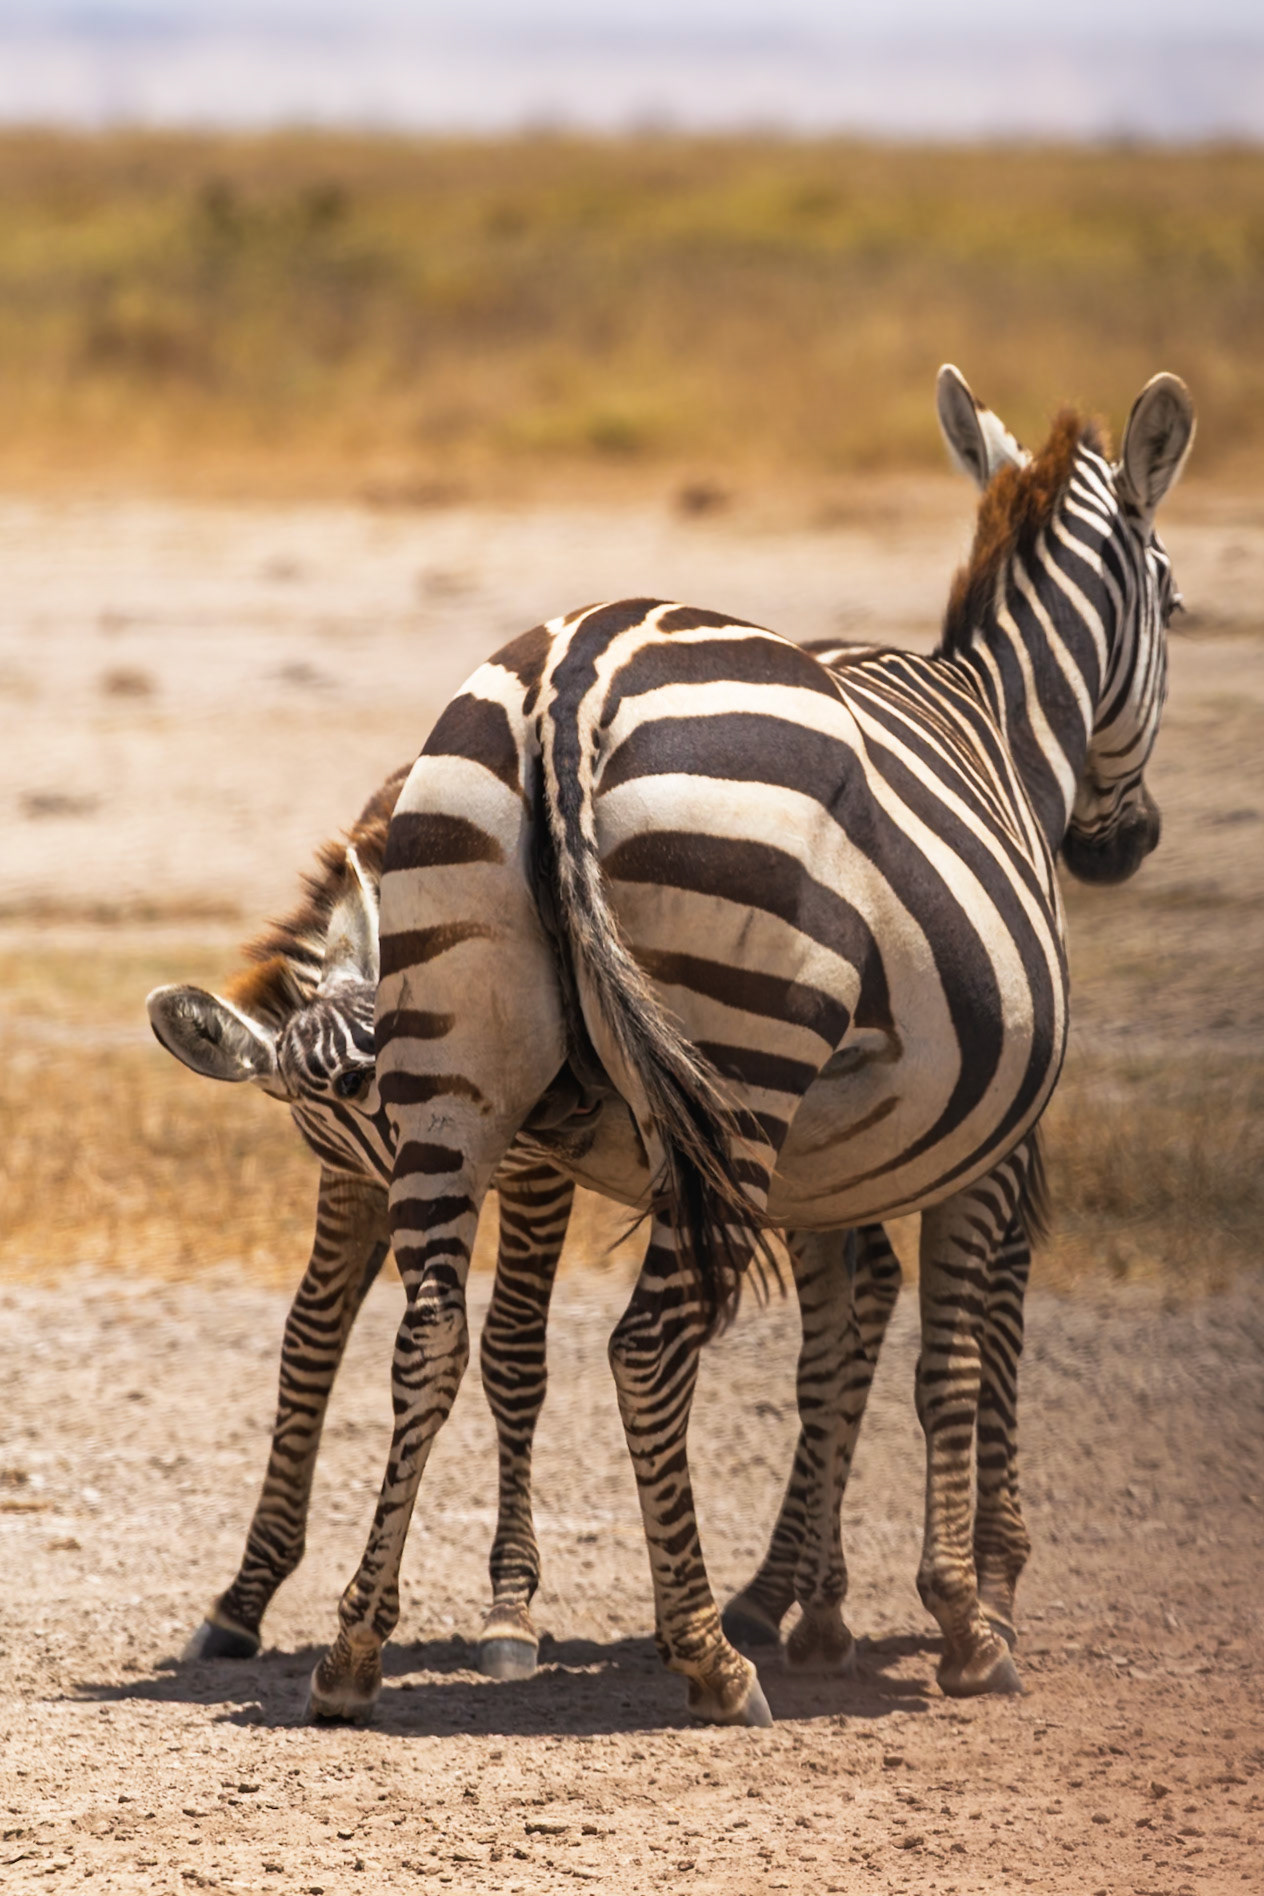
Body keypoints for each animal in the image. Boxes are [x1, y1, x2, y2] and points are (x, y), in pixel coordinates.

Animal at [290, 364, 1192, 1730]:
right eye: (1179, 607)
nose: (1116, 847)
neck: (1002, 723)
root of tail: (573, 676)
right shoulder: (983, 1143)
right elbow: (955, 1355)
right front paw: (966, 1620)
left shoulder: (833, 1162)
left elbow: (837, 1344)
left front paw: (812, 1604)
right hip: (743, 1058)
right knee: (647, 1346)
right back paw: (707, 1655)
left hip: (457, 1064)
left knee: (429, 1333)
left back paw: (352, 1654)